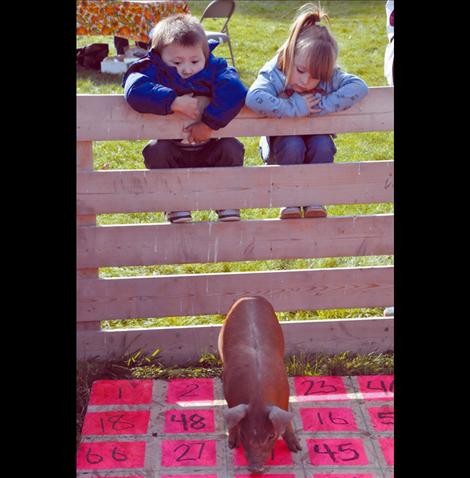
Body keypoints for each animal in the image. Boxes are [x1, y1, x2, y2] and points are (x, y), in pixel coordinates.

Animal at [218, 296, 302, 472]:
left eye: (271, 436)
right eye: (244, 434)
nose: (255, 467)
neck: (259, 396)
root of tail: (249, 297)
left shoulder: (285, 397)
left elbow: (287, 422)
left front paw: (297, 449)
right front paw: (232, 445)